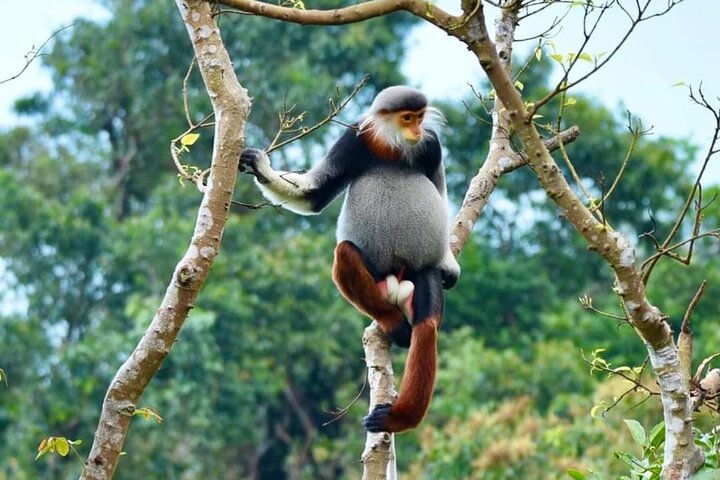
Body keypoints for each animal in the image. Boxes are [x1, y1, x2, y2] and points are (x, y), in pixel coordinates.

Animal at [240, 86, 460, 433]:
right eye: (407, 117)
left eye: (420, 117)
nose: (416, 130)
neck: (391, 146)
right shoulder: (353, 139)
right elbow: (315, 194)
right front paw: (260, 167)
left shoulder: (431, 145)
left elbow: (438, 190)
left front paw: (450, 265)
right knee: (344, 251)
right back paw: (391, 321)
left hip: (420, 269)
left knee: (427, 325)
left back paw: (398, 417)